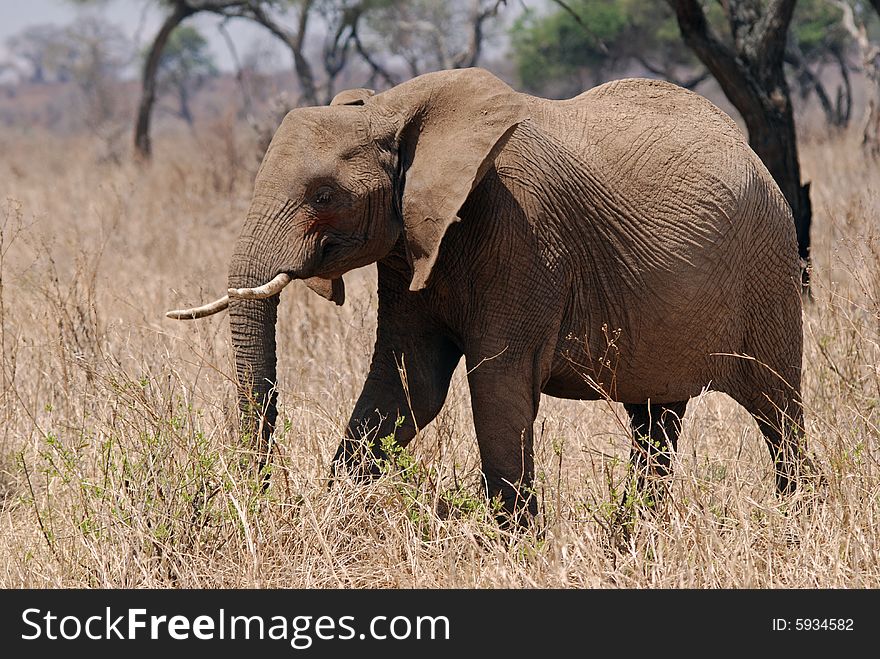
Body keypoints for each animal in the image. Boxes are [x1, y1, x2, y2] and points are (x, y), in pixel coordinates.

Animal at [168, 65, 816, 520]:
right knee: (656, 420)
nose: (257, 498)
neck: (392, 109)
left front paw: (520, 550)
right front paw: (332, 520)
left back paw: (798, 521)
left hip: (770, 272)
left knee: (778, 411)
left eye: (324, 196)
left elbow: (498, 385)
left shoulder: (525, 237)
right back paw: (633, 539)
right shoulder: (413, 245)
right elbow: (409, 385)